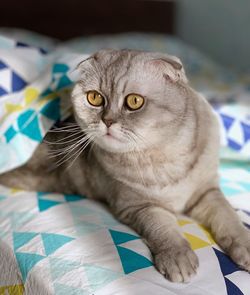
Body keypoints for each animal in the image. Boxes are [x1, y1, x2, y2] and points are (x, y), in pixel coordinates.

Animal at [0, 49, 250, 284]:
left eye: (134, 101)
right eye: (94, 98)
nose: (107, 121)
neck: (165, 160)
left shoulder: (207, 191)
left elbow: (228, 217)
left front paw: (244, 245)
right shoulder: (138, 205)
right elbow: (163, 228)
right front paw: (177, 256)